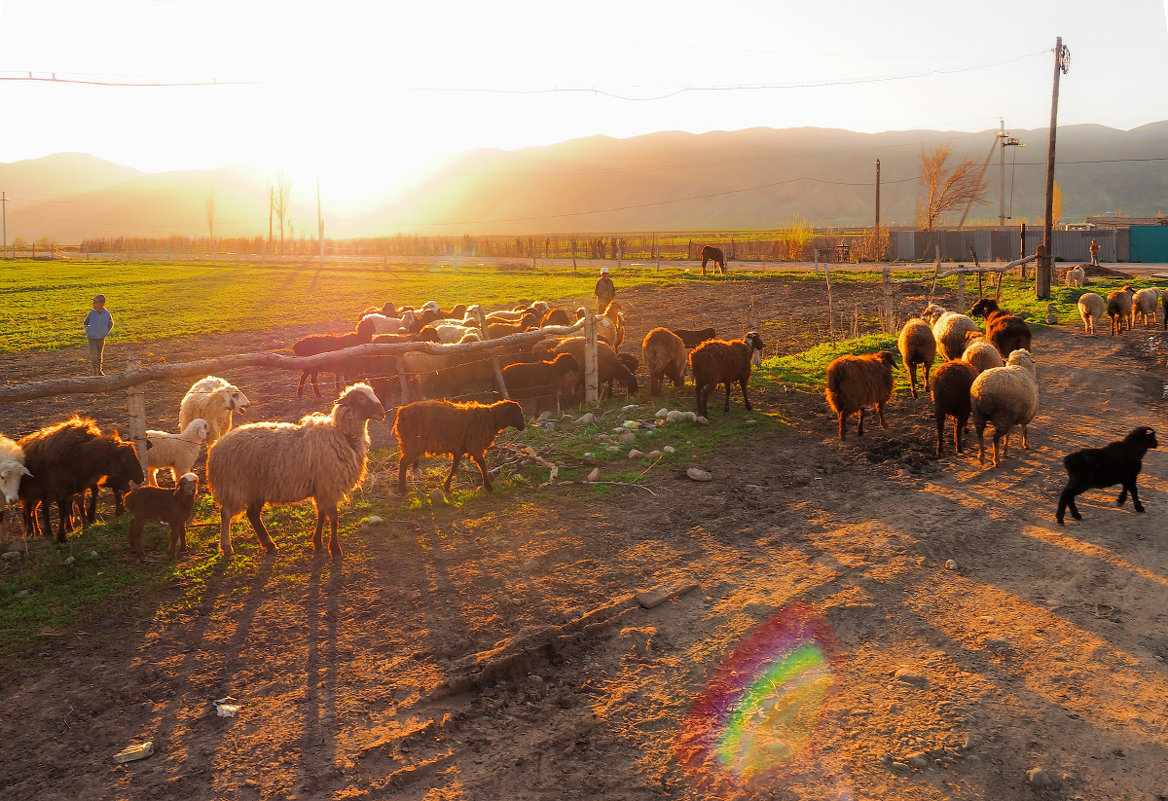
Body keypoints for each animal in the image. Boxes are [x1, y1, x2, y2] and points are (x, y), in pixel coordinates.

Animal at [202, 382, 383, 558]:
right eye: (360, 398)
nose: (382, 413)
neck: (342, 436)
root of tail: (215, 448)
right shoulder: (329, 485)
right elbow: (333, 518)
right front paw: (335, 549)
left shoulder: (321, 487)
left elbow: (321, 515)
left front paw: (317, 543)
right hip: (234, 486)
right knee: (226, 514)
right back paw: (227, 546)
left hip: (256, 488)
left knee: (252, 515)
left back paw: (269, 544)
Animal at [392, 399, 525, 495]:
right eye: (518, 413)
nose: (523, 426)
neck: (491, 420)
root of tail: (401, 412)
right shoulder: (475, 446)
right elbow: (482, 465)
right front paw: (488, 486)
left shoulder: (459, 449)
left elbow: (454, 467)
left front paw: (446, 487)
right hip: (413, 444)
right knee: (403, 462)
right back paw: (402, 488)